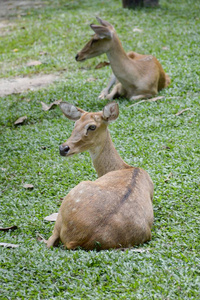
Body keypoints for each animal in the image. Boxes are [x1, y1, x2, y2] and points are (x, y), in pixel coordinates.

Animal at [47, 102, 154, 250]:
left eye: (92, 126)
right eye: (75, 123)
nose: (63, 148)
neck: (125, 167)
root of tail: (74, 240)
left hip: (69, 201)